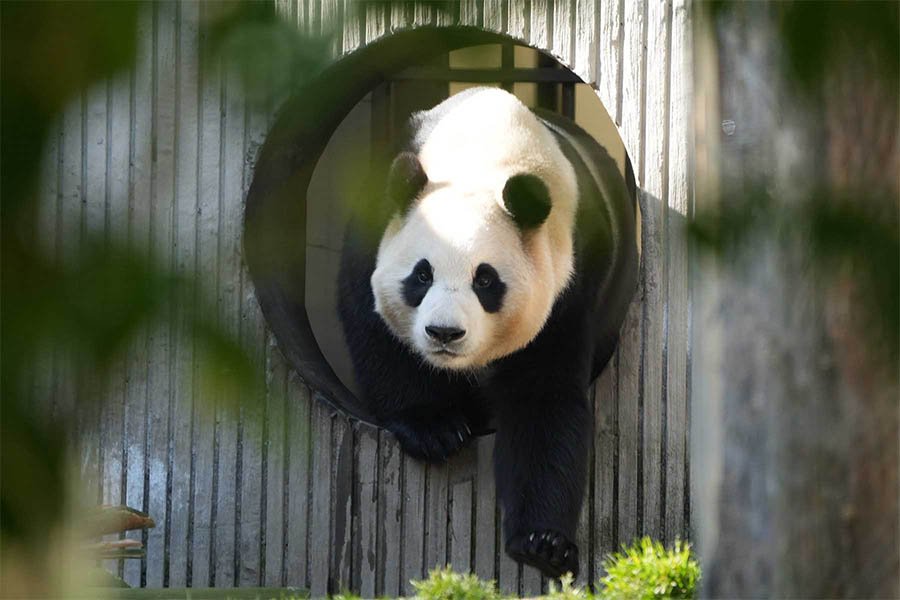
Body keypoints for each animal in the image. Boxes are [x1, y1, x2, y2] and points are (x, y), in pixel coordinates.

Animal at [337, 87, 637, 579]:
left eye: (485, 280)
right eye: (422, 274)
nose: (443, 333)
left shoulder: (571, 275)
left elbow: (542, 396)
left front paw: (543, 543)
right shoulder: (380, 216)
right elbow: (373, 326)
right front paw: (434, 428)